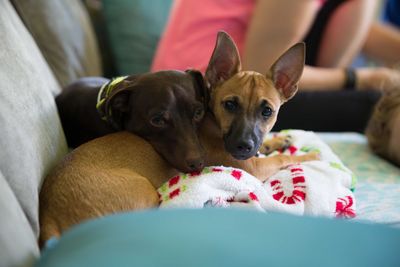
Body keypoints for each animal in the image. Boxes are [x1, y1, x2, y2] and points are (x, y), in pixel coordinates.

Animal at [39, 32, 318, 246]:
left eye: (267, 111)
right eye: (230, 105)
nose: (243, 146)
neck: (213, 120)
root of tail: (48, 218)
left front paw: (276, 142)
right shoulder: (252, 166)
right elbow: (282, 159)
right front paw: (312, 155)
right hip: (145, 197)